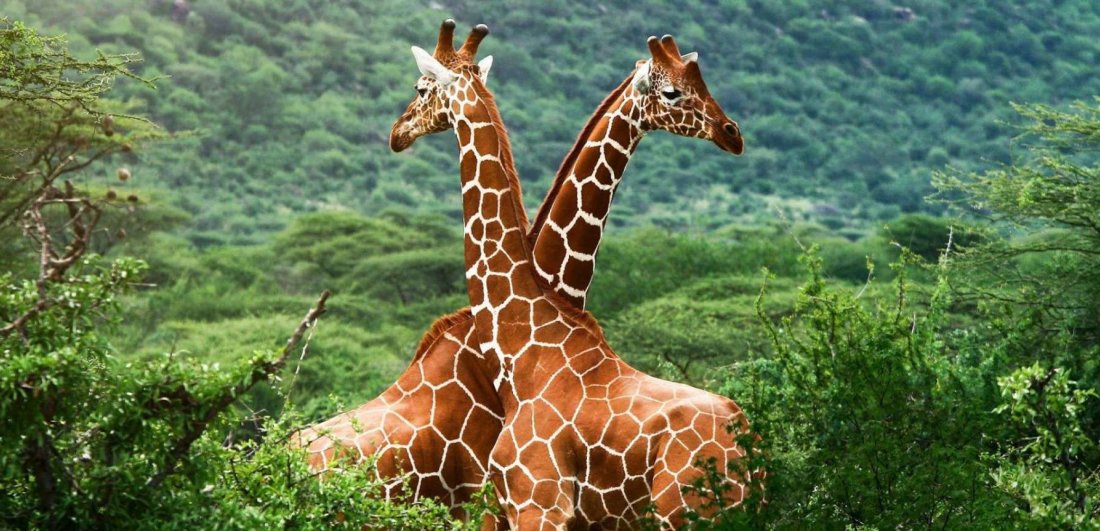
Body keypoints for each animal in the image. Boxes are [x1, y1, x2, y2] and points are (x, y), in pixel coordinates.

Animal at [297, 19, 761, 527]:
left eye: (420, 87)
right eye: (675, 91)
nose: (733, 133)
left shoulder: (529, 501)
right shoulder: (506, 503)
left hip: (684, 510)